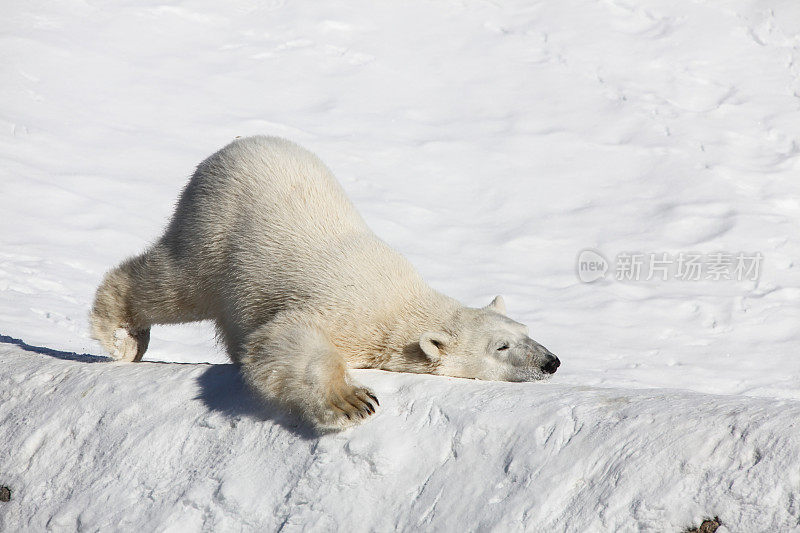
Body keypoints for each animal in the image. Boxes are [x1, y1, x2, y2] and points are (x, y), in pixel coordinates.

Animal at [90, 136, 560, 428]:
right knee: (173, 284)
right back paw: (122, 337)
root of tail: (232, 147)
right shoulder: (350, 309)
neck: (405, 305)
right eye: (501, 347)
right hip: (217, 232)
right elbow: (287, 337)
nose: (550, 362)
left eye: (526, 331)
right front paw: (353, 401)